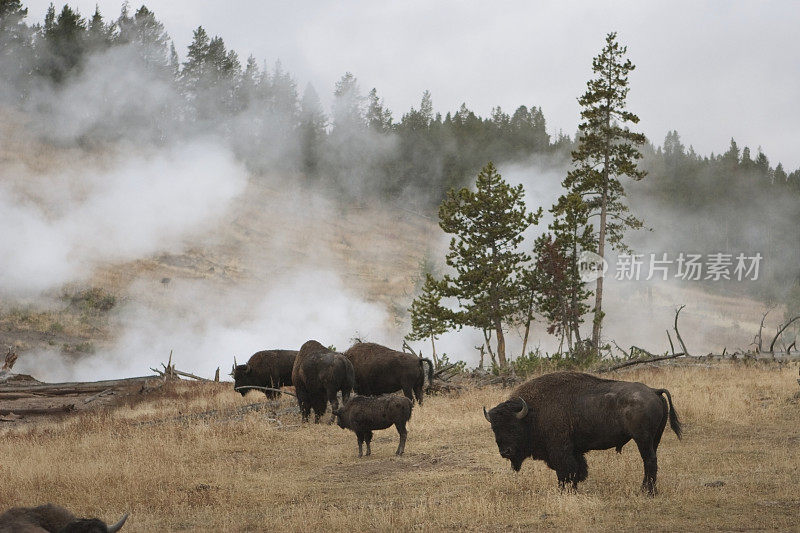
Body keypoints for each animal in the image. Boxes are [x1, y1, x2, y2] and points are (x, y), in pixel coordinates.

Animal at [482, 370, 680, 494]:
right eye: (494, 428)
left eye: (513, 426)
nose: (505, 452)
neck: (532, 412)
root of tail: (654, 391)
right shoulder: (574, 451)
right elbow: (578, 470)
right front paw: (573, 490)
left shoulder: (560, 451)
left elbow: (566, 471)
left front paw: (564, 491)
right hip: (655, 438)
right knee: (651, 461)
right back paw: (647, 490)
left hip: (643, 439)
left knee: (649, 461)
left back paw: (647, 492)